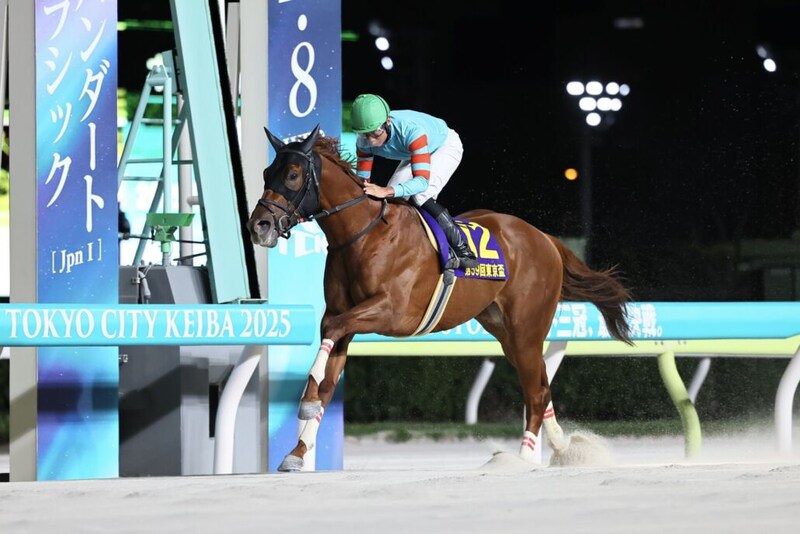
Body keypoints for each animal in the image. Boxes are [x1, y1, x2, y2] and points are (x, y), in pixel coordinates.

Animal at [246, 124, 633, 471]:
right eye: (266, 173)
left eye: (293, 175)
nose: (259, 226)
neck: (364, 234)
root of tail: (546, 238)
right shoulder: (346, 316)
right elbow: (329, 371)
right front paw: (297, 450)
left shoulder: (391, 312)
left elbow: (332, 332)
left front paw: (306, 401)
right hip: (506, 332)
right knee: (542, 385)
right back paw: (563, 447)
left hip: (527, 329)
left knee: (535, 393)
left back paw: (522, 460)